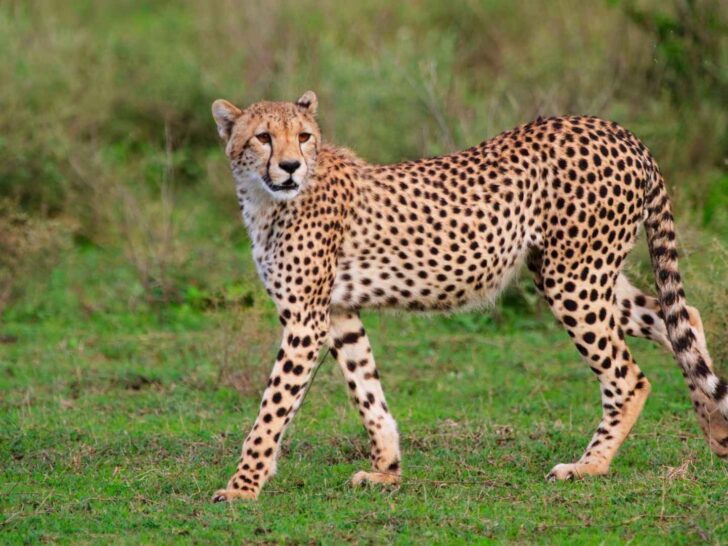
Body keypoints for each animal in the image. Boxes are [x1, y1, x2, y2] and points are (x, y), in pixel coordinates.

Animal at [209, 91, 728, 502]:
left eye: (303, 136)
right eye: (263, 137)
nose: (290, 167)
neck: (266, 200)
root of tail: (617, 129)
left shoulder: (305, 321)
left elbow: (272, 409)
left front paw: (242, 486)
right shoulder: (338, 314)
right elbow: (367, 391)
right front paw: (387, 471)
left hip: (573, 278)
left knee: (629, 375)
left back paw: (589, 466)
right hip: (581, 272)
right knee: (683, 318)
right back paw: (717, 429)